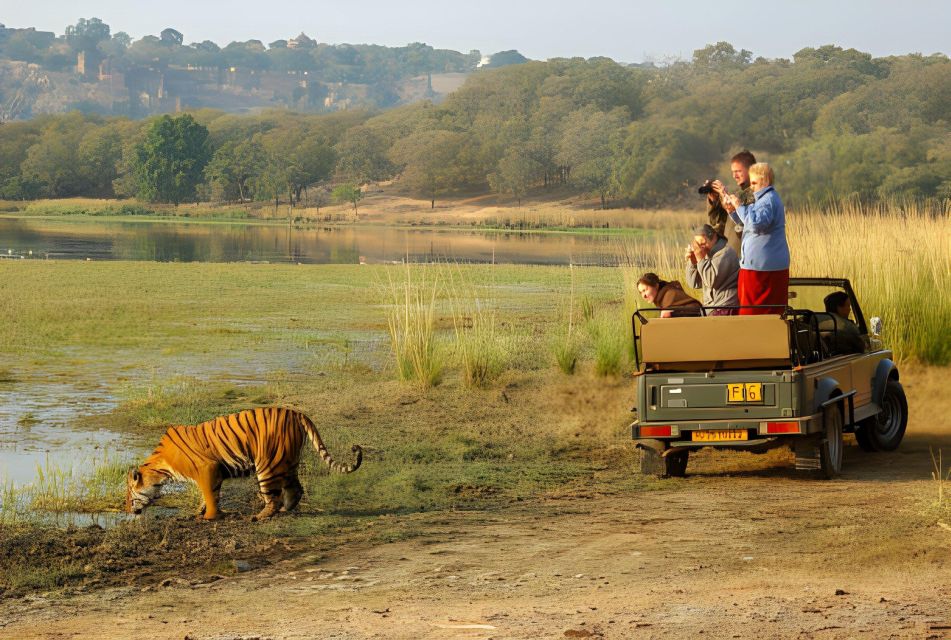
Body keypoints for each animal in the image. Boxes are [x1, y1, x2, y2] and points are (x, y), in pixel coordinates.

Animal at [126, 407, 362, 521]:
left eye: (129, 496)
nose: (128, 510)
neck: (160, 469)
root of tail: (297, 413)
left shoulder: (207, 469)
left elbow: (209, 495)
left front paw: (209, 517)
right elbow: (209, 494)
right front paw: (201, 512)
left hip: (267, 465)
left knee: (273, 498)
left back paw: (259, 517)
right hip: (288, 461)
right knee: (295, 488)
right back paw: (286, 509)